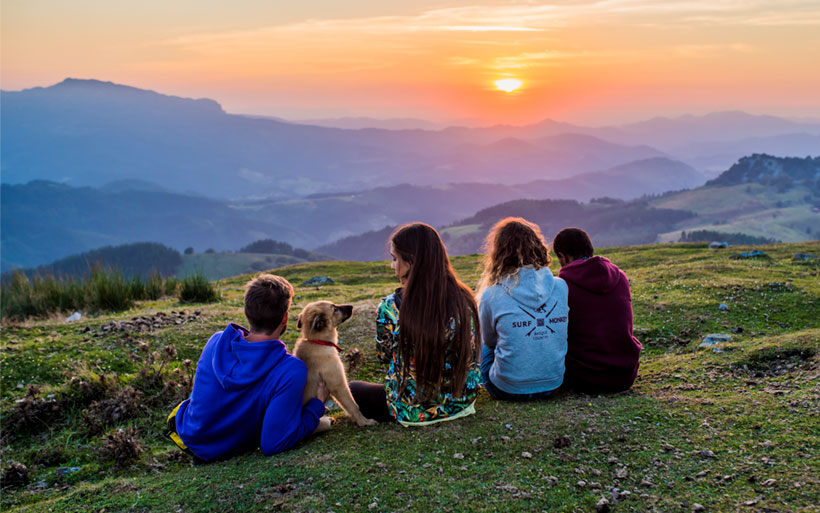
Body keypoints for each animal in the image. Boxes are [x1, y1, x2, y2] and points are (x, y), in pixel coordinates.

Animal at [294, 301, 377, 429]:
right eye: (335, 309)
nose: (351, 306)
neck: (318, 342)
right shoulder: (338, 385)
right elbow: (353, 405)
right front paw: (364, 422)